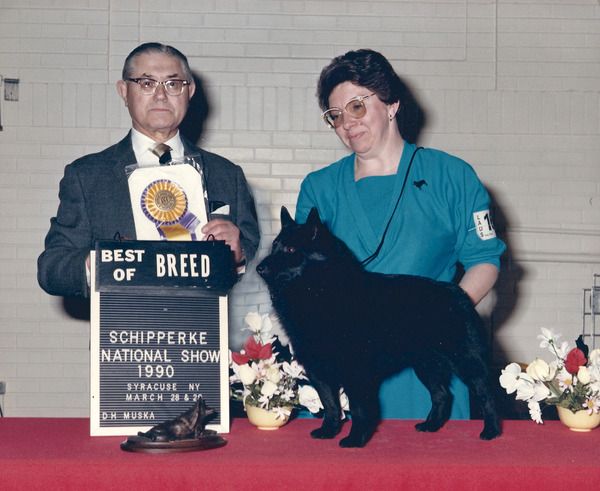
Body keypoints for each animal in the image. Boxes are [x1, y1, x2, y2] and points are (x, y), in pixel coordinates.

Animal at [255, 208, 500, 450]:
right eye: (274, 246)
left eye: (291, 249)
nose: (259, 267)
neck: (321, 290)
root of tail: (458, 293)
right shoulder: (319, 370)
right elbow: (331, 404)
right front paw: (329, 431)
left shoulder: (355, 373)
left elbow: (358, 410)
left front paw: (355, 439)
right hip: (426, 365)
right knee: (442, 395)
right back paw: (430, 426)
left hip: (466, 361)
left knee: (486, 394)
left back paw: (491, 431)